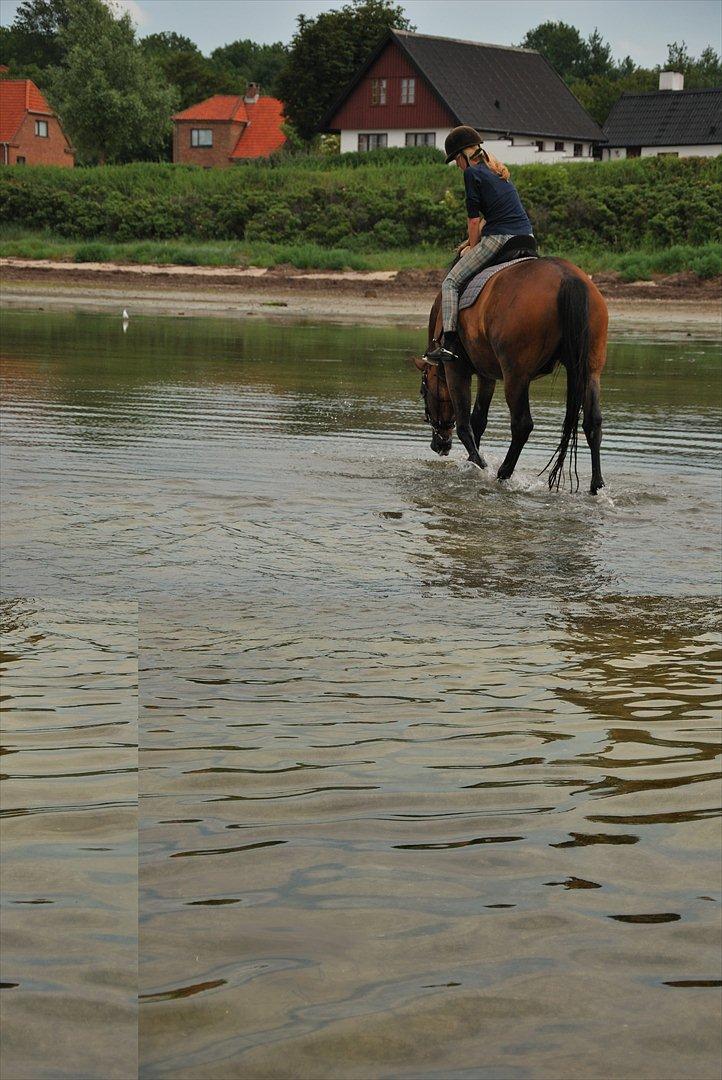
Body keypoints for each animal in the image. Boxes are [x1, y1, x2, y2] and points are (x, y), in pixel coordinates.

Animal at [416, 257, 608, 496]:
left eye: (424, 392)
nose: (439, 445)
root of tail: (568, 276)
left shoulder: (455, 370)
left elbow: (464, 426)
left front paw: (480, 465)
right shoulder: (486, 375)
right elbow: (478, 421)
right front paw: (472, 464)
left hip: (516, 376)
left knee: (522, 425)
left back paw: (503, 474)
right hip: (590, 372)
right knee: (593, 423)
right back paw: (596, 486)